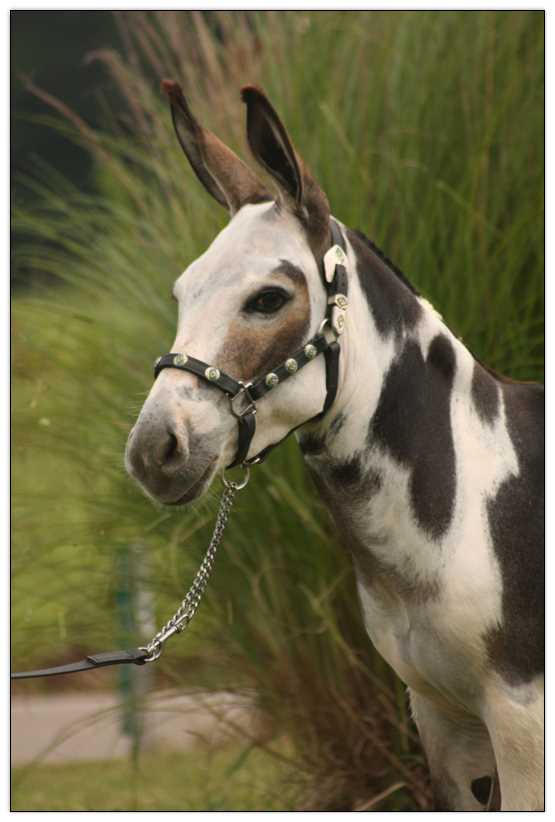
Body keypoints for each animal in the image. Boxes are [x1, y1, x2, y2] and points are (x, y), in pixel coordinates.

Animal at [125, 81, 544, 811]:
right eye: (182, 293)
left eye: (268, 299)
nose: (153, 451)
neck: (467, 511)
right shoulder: (443, 721)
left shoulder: (521, 720)